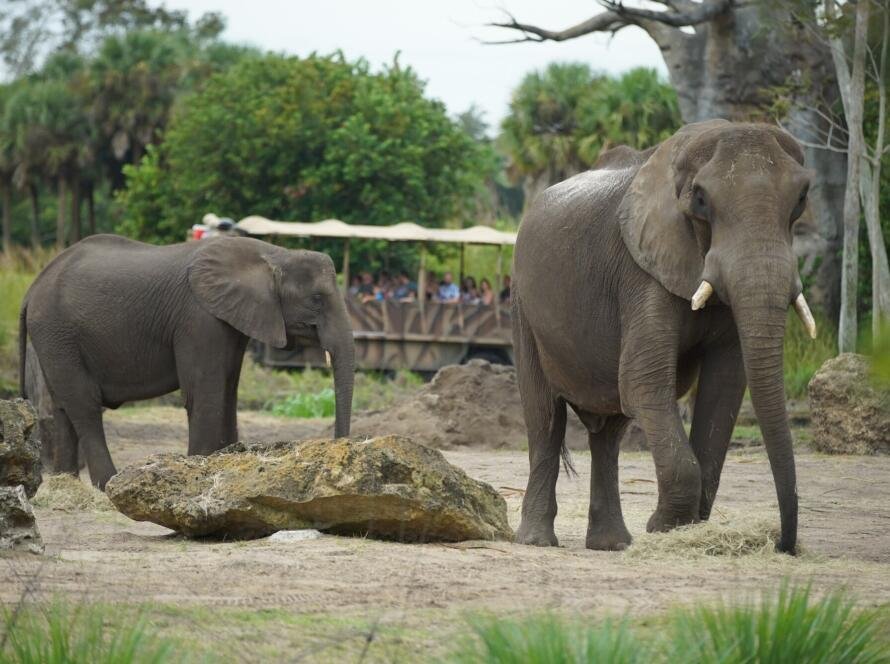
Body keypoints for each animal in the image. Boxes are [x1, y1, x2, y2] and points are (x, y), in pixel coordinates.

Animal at [20, 233, 354, 488]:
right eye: (316, 300)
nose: (337, 451)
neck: (273, 253)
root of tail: (31, 287)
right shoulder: (198, 317)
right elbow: (204, 390)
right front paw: (199, 469)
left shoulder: (230, 319)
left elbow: (228, 388)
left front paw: (226, 461)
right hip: (56, 330)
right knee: (84, 404)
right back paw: (107, 484)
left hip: (56, 338)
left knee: (62, 406)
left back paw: (66, 483)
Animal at [510, 120, 816, 556]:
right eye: (701, 199)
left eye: (801, 197)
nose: (783, 544)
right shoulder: (640, 271)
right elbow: (645, 382)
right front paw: (664, 528)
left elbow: (724, 389)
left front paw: (683, 528)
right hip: (523, 307)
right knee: (545, 418)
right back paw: (538, 541)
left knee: (609, 433)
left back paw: (612, 545)